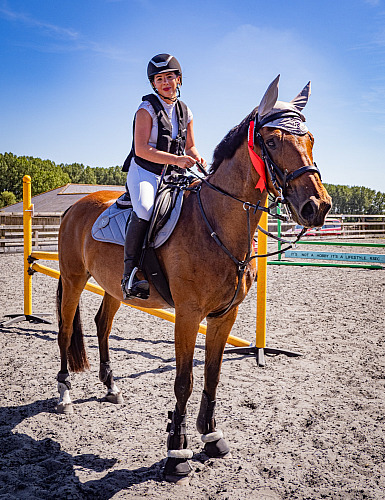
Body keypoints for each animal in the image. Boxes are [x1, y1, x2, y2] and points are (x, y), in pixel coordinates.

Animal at [56, 75, 330, 480]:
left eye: (310, 139)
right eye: (271, 141)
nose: (317, 207)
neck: (215, 223)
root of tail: (74, 206)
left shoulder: (224, 315)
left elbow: (212, 375)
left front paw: (211, 436)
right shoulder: (187, 316)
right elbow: (183, 381)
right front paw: (176, 451)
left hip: (115, 288)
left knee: (102, 324)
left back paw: (111, 388)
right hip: (74, 278)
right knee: (64, 330)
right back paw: (65, 394)